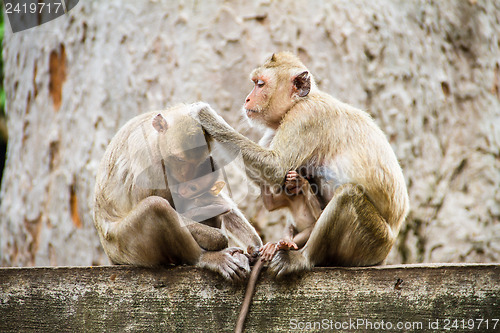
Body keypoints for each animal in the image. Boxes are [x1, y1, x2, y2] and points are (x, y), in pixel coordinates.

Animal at [95, 102, 264, 278]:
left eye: (195, 163)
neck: (155, 139)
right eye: (179, 159)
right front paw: (219, 238)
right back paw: (203, 258)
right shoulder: (146, 159)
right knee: (155, 206)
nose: (185, 176)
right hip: (126, 246)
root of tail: (111, 255)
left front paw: (254, 243)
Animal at [189, 51, 408, 274]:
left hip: (372, 242)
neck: (299, 101)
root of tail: (385, 252)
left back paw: (301, 258)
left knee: (348, 195)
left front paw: (205, 115)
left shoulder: (304, 117)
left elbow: (276, 167)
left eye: (260, 84)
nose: (247, 99)